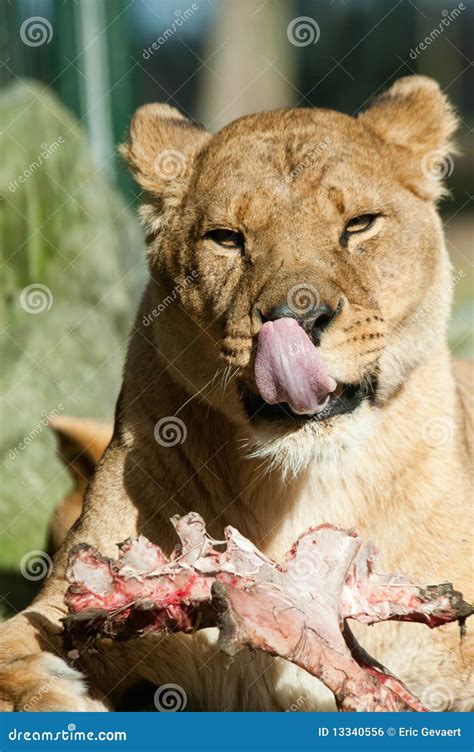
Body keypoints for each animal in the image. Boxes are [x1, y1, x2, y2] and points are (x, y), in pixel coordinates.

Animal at [0, 75, 472, 712]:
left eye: (359, 225)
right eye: (226, 239)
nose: (299, 314)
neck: (301, 483)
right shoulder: (81, 588)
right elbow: (16, 639)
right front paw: (54, 696)